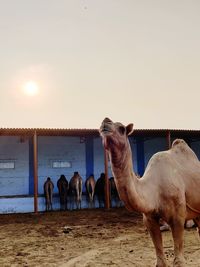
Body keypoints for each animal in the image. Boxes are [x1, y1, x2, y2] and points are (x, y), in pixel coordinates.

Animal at [100, 118, 200, 267]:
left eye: (122, 129)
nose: (105, 122)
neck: (154, 190)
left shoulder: (178, 215)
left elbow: (179, 255)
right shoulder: (149, 218)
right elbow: (159, 254)